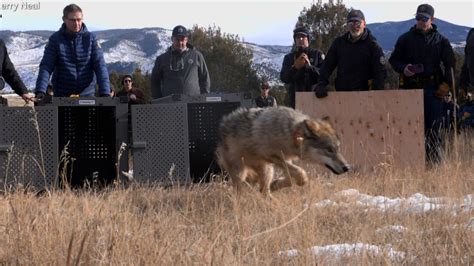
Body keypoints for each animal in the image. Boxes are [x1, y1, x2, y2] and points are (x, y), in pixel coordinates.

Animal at [217, 106, 350, 195]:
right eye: (329, 150)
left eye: (338, 148)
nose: (347, 167)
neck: (291, 133)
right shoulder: (272, 156)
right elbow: (300, 172)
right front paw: (301, 181)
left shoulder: (286, 159)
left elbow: (291, 179)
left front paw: (275, 185)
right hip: (241, 174)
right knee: (240, 190)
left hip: (267, 170)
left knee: (264, 191)